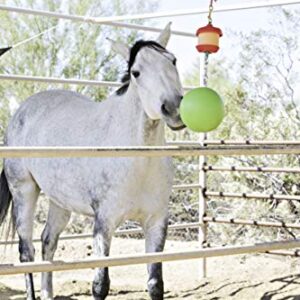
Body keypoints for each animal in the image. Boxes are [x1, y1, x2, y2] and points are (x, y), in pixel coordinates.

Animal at [0, 24, 185, 300]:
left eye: (172, 60)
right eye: (136, 72)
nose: (173, 108)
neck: (137, 161)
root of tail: (20, 113)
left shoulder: (156, 222)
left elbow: (155, 284)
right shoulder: (103, 223)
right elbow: (100, 284)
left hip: (59, 202)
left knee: (48, 242)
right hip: (24, 191)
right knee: (26, 252)